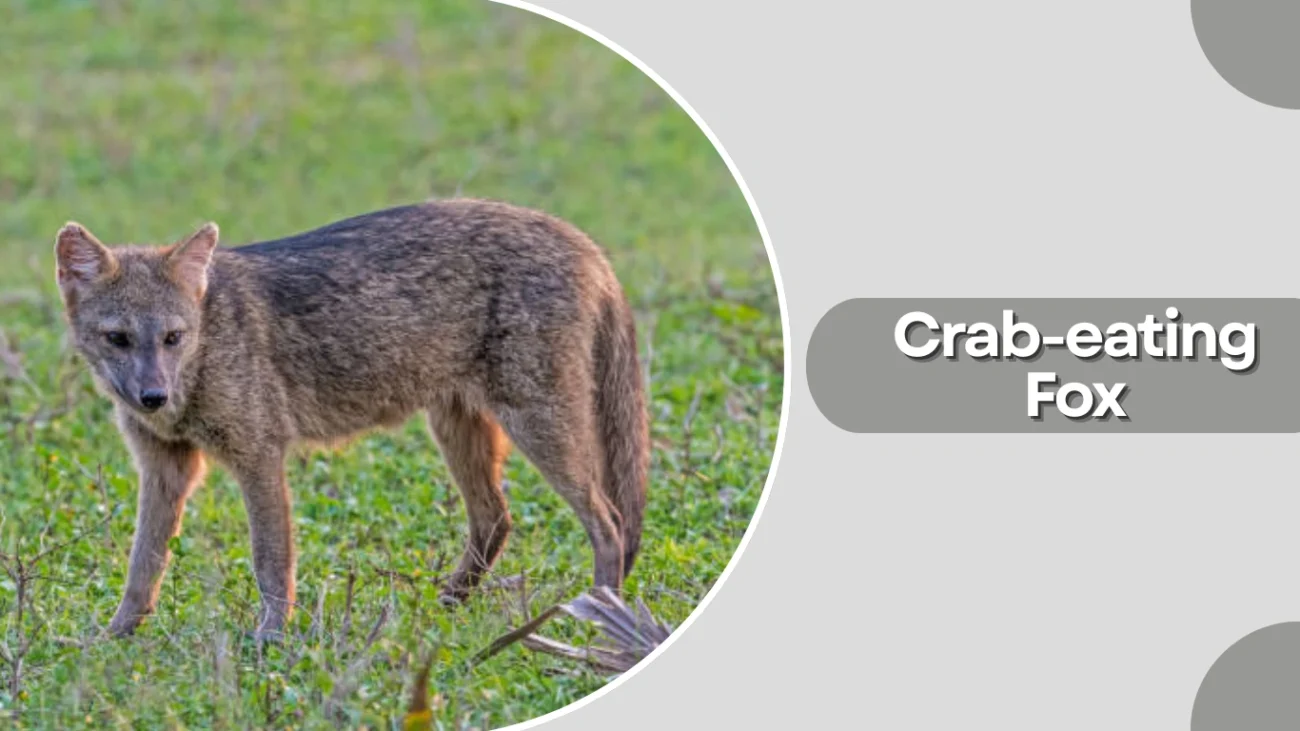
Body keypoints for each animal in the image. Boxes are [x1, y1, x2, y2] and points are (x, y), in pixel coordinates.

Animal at [52, 200, 650, 641]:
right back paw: (443, 609)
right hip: (458, 431)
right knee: (497, 519)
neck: (204, 352)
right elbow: (142, 567)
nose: (152, 397)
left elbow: (271, 561)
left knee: (610, 522)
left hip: (539, 430)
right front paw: (114, 638)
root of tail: (582, 241)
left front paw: (271, 640)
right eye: (118, 338)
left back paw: (601, 618)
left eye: (173, 338)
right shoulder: (166, 470)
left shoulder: (259, 456)